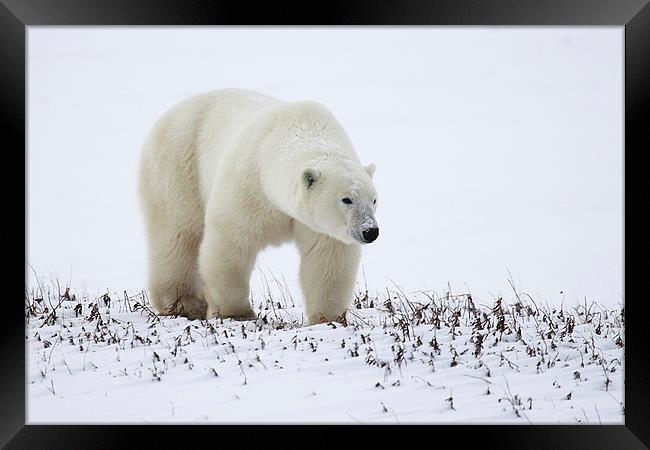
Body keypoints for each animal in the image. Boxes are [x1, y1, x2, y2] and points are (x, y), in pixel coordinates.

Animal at [139, 89, 378, 326]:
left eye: (374, 200)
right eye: (347, 199)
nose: (370, 231)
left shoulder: (316, 224)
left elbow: (327, 258)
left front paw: (328, 319)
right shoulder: (250, 184)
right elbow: (231, 240)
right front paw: (236, 313)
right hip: (179, 163)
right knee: (178, 234)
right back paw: (185, 302)